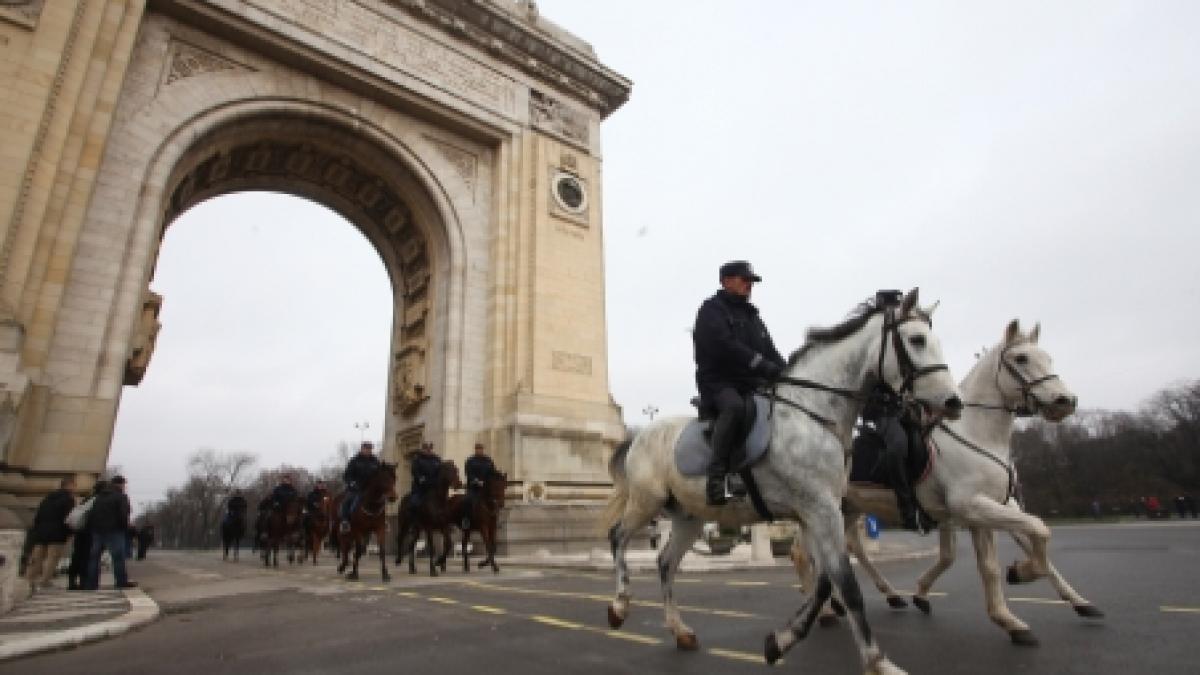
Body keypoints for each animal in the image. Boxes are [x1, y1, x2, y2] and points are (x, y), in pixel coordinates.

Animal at [604, 289, 960, 672]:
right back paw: (619, 605)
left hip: (689, 517)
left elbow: (824, 583)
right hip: (647, 501)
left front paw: (781, 641)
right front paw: (877, 661)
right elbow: (847, 586)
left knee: (666, 563)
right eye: (917, 340)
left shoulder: (817, 514)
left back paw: (680, 631)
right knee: (618, 537)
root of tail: (639, 435)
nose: (953, 402)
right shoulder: (821, 511)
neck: (813, 415)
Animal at [796, 317, 1099, 643]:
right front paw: (1019, 578)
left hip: (849, 508)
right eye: (1021, 358)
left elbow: (1008, 554)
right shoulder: (971, 506)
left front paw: (1071, 603)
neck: (978, 434)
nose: (1065, 401)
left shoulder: (996, 507)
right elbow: (1036, 532)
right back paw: (825, 610)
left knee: (850, 549)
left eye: (1048, 358)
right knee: (804, 554)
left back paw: (880, 597)